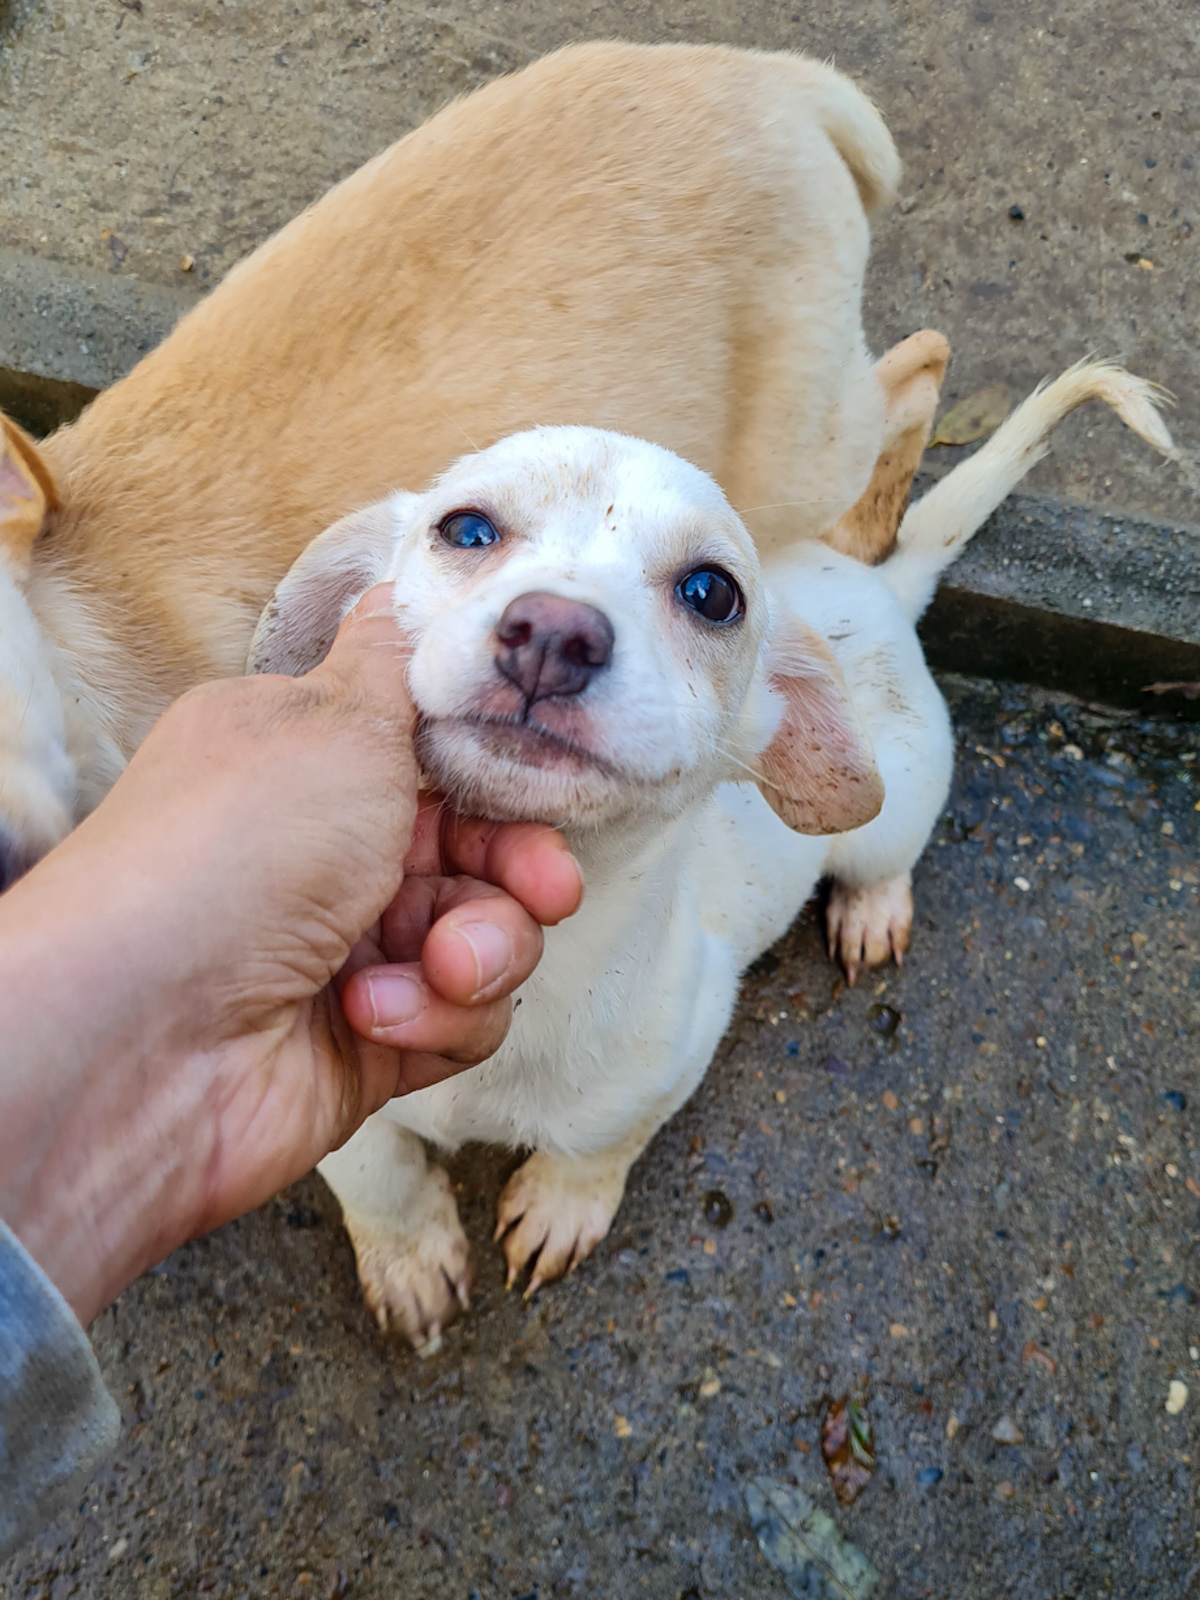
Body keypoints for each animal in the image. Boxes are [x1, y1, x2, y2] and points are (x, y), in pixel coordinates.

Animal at [248, 364, 1173, 1349]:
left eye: (711, 592)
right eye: (465, 529)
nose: (554, 633)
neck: (546, 979)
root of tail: (881, 584)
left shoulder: (681, 1045)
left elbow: (600, 1145)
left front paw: (561, 1206)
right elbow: (372, 1164)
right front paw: (410, 1259)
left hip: (882, 818)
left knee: (885, 859)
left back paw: (872, 909)